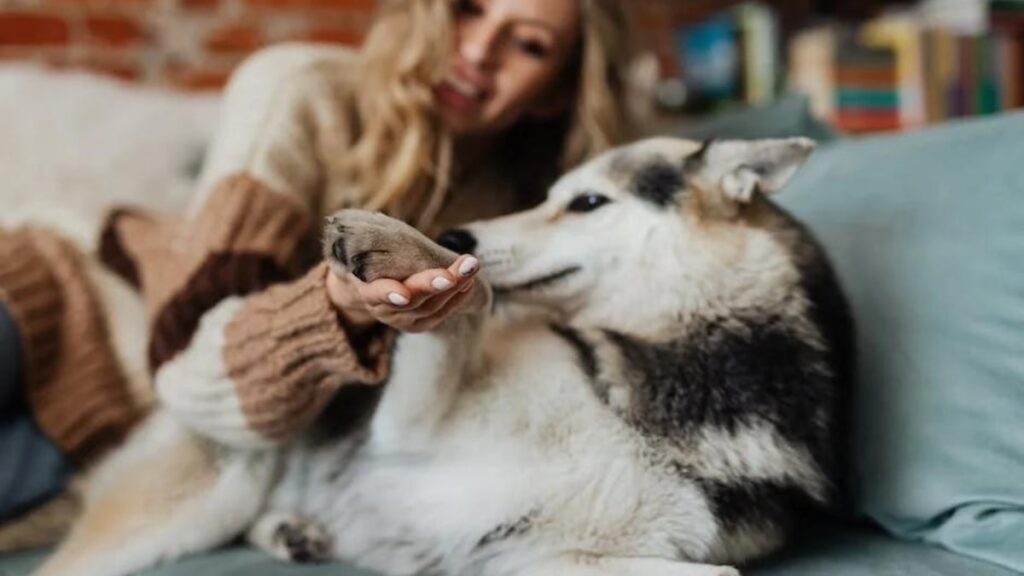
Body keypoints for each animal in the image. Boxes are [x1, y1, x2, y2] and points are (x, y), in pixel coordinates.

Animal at [32, 136, 851, 573]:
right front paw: (402, 244)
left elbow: (714, 568)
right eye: (550, 194)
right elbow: (474, 293)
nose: (456, 233)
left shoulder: (545, 556)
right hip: (198, 499)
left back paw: (293, 531)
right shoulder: (408, 433)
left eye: (587, 203)